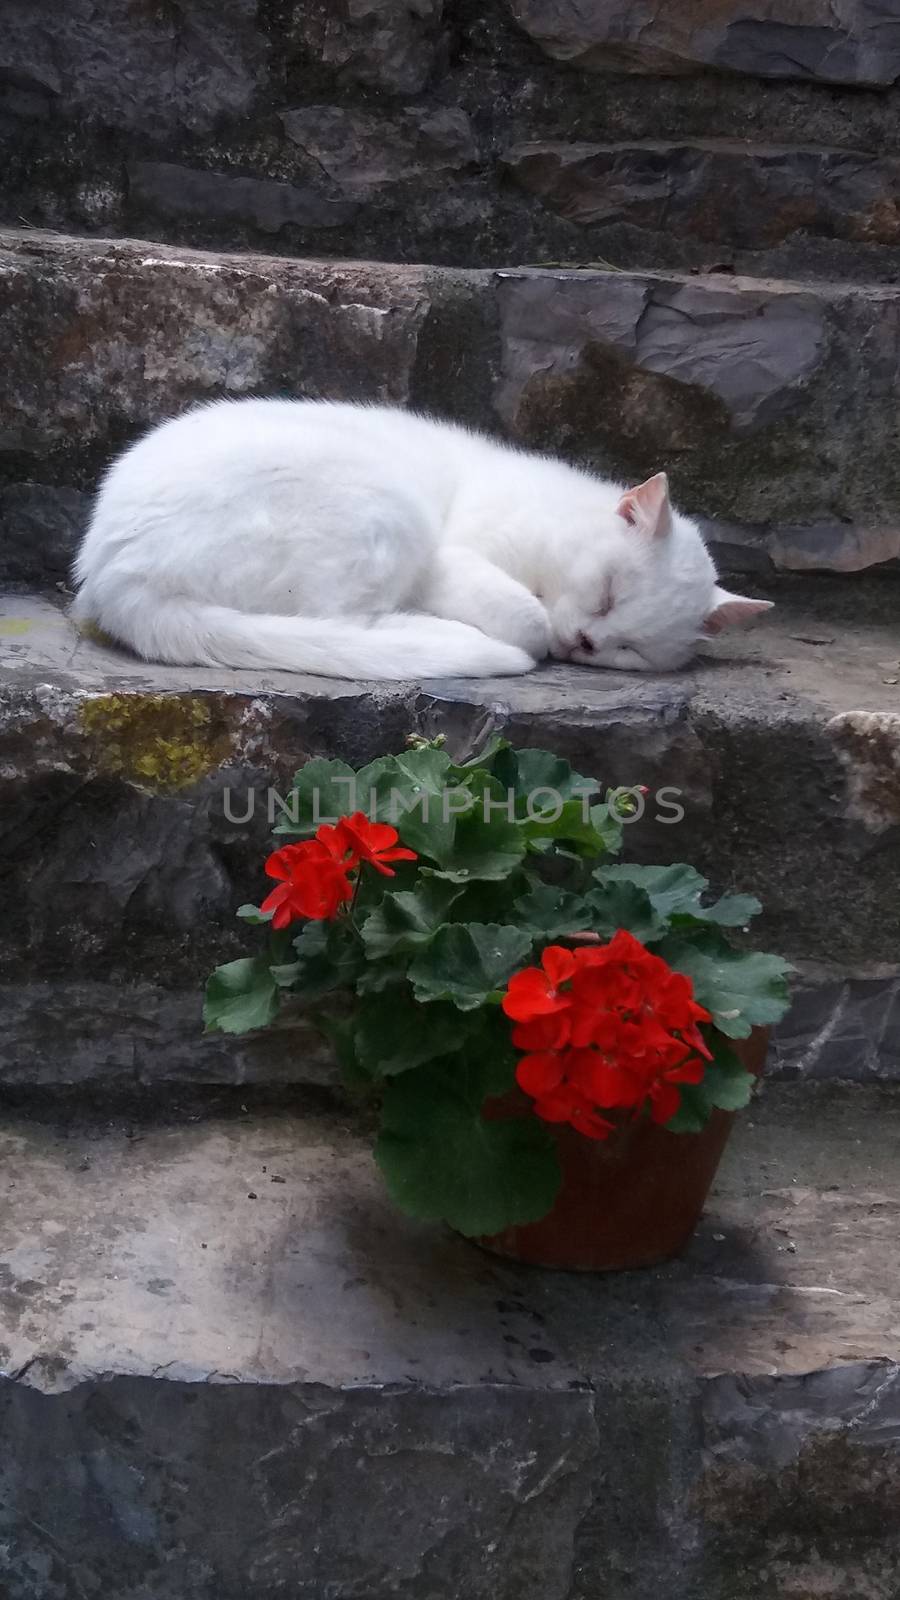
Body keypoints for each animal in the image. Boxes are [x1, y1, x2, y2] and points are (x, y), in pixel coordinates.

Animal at [71, 400, 771, 681]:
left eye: (632, 650)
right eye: (607, 592)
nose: (587, 643)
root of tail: (112, 574)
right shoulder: (451, 556)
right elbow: (529, 618)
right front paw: (536, 631)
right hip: (386, 505)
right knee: (344, 624)